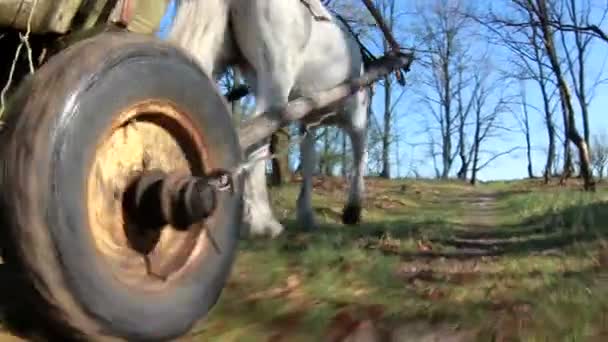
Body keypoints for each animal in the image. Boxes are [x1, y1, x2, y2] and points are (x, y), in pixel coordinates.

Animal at [165, 0, 370, 236]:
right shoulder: (357, 115)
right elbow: (360, 156)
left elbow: (309, 162)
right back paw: (263, 222)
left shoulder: (308, 122)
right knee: (257, 133)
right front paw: (353, 210)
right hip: (277, 75)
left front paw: (306, 215)